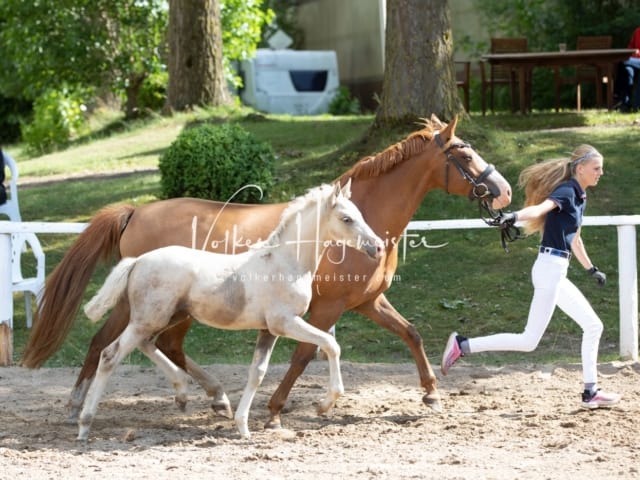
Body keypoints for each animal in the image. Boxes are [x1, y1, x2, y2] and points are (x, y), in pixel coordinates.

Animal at [77, 181, 382, 442]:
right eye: (347, 219)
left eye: (360, 214)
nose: (378, 247)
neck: (285, 262)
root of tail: (138, 261)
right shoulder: (285, 322)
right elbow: (331, 344)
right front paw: (325, 404)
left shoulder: (268, 330)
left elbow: (257, 372)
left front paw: (243, 427)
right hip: (149, 319)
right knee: (110, 355)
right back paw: (84, 425)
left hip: (164, 317)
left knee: (148, 344)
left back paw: (185, 392)